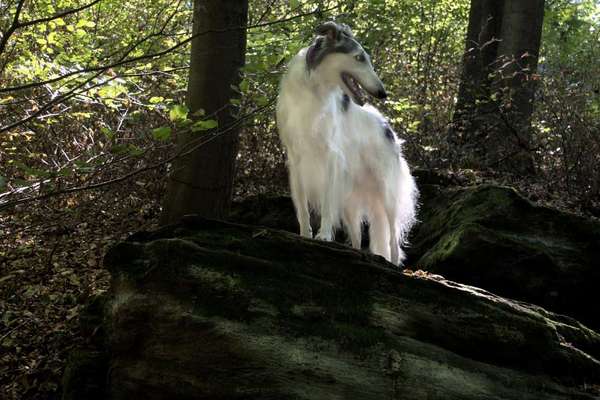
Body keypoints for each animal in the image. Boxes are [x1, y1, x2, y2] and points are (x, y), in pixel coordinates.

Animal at [276, 21, 418, 266]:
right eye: (359, 58)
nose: (382, 93)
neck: (312, 91)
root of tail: (388, 128)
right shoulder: (295, 159)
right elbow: (302, 209)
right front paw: (304, 235)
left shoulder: (331, 157)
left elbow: (325, 206)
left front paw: (323, 236)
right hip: (350, 203)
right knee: (357, 238)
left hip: (387, 194)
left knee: (392, 240)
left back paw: (392, 264)